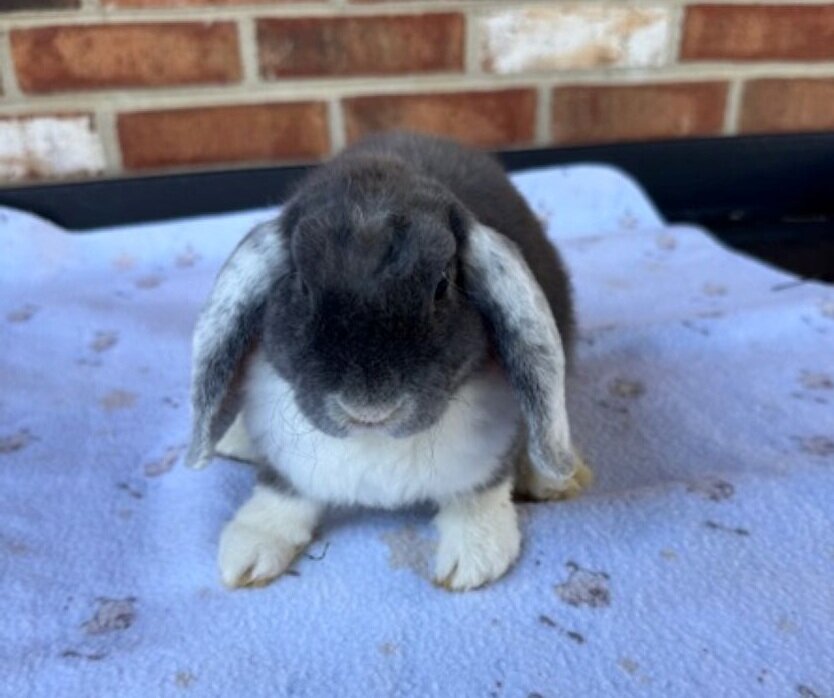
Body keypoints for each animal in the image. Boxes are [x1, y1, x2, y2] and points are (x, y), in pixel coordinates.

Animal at [186, 131, 592, 591]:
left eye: (441, 285)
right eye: (302, 284)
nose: (368, 406)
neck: (375, 440)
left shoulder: (486, 454)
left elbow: (480, 493)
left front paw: (475, 554)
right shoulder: (289, 461)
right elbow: (281, 493)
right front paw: (250, 546)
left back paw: (555, 478)